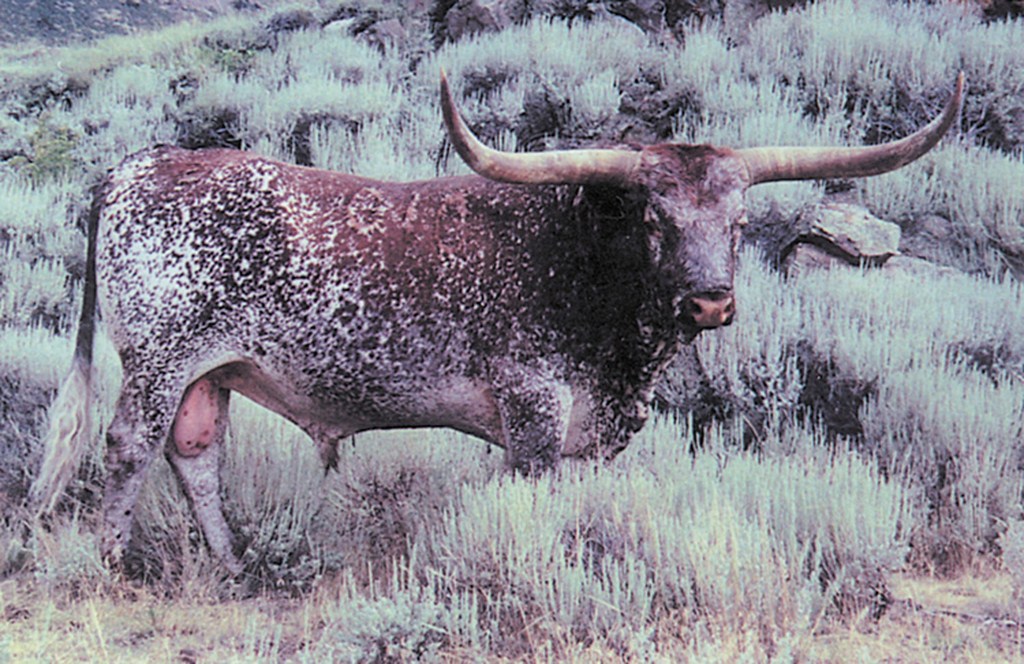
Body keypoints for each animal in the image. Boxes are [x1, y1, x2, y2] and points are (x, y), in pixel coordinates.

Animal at [32, 71, 964, 573]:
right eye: (654, 217)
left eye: (739, 223)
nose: (709, 302)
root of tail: (136, 166)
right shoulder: (534, 406)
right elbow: (532, 493)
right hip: (160, 356)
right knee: (129, 445)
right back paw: (112, 562)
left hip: (212, 371)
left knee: (194, 453)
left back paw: (235, 564)